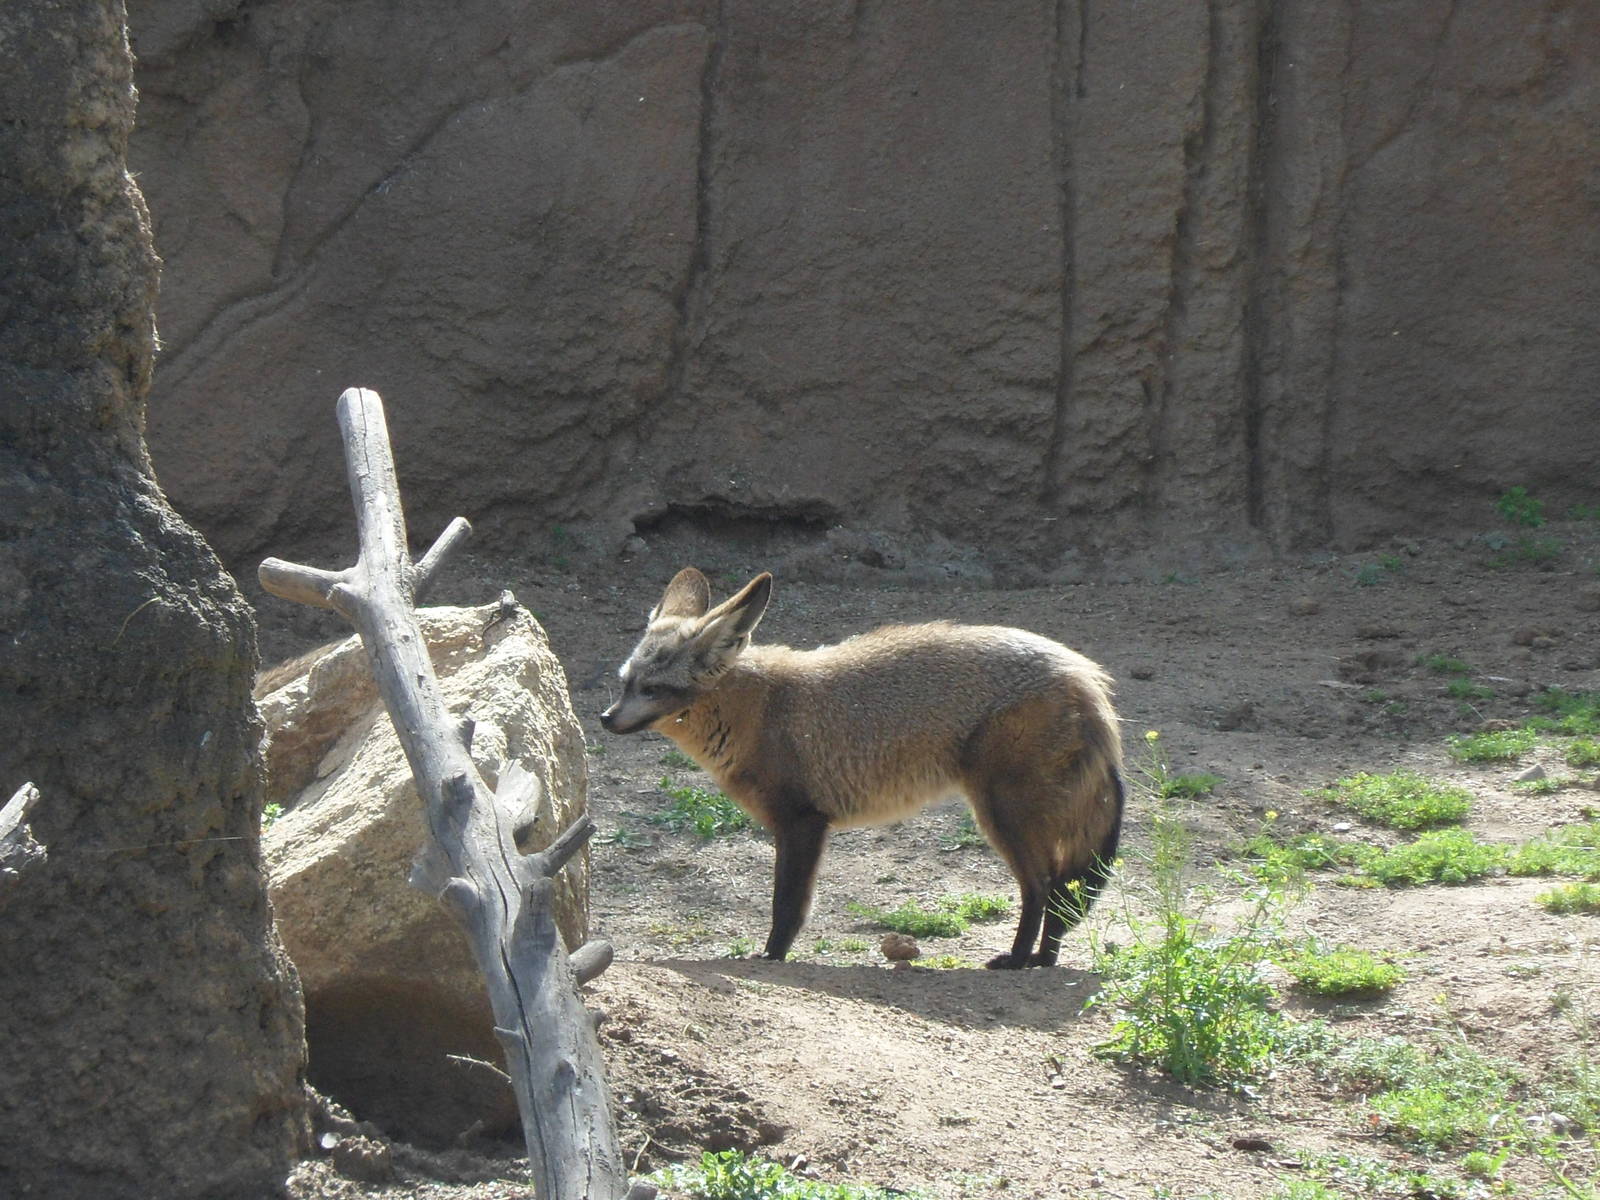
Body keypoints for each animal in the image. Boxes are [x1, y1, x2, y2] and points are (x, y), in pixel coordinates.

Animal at [599, 567, 1125, 969]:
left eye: (653, 689)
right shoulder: (800, 824)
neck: (758, 709)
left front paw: (771, 960)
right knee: (1060, 893)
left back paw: (1017, 960)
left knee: (1043, 889)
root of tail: (1086, 676)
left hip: (1001, 814)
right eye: (626, 683)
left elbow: (787, 908)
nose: (605, 718)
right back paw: (1042, 961)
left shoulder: (802, 822)